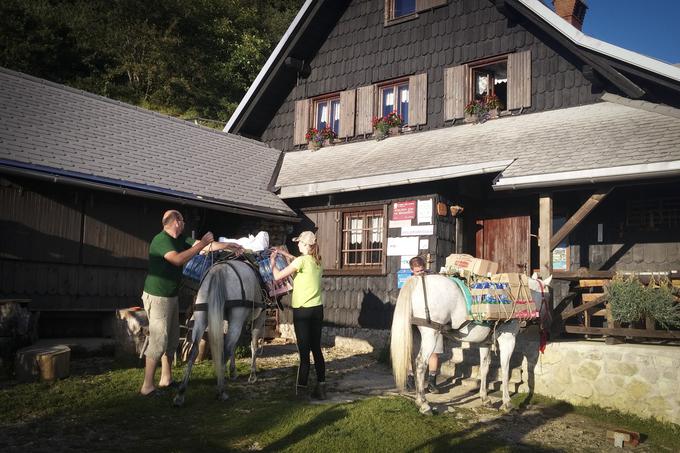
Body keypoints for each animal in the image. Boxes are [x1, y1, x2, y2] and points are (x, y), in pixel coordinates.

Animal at [174, 258, 266, 406]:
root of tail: (220, 270)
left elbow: (236, 345)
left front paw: (233, 372)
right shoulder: (259, 318)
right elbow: (253, 346)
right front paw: (252, 375)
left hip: (201, 315)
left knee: (194, 350)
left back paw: (181, 393)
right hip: (237, 317)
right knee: (226, 349)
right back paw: (221, 391)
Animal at [390, 272, 548, 414]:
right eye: (547, 295)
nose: (545, 320)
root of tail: (418, 280)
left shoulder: (485, 343)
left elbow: (484, 367)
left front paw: (485, 398)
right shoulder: (508, 339)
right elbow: (505, 368)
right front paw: (507, 403)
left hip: (416, 336)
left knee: (413, 363)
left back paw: (418, 399)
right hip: (431, 334)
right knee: (420, 364)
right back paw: (424, 404)